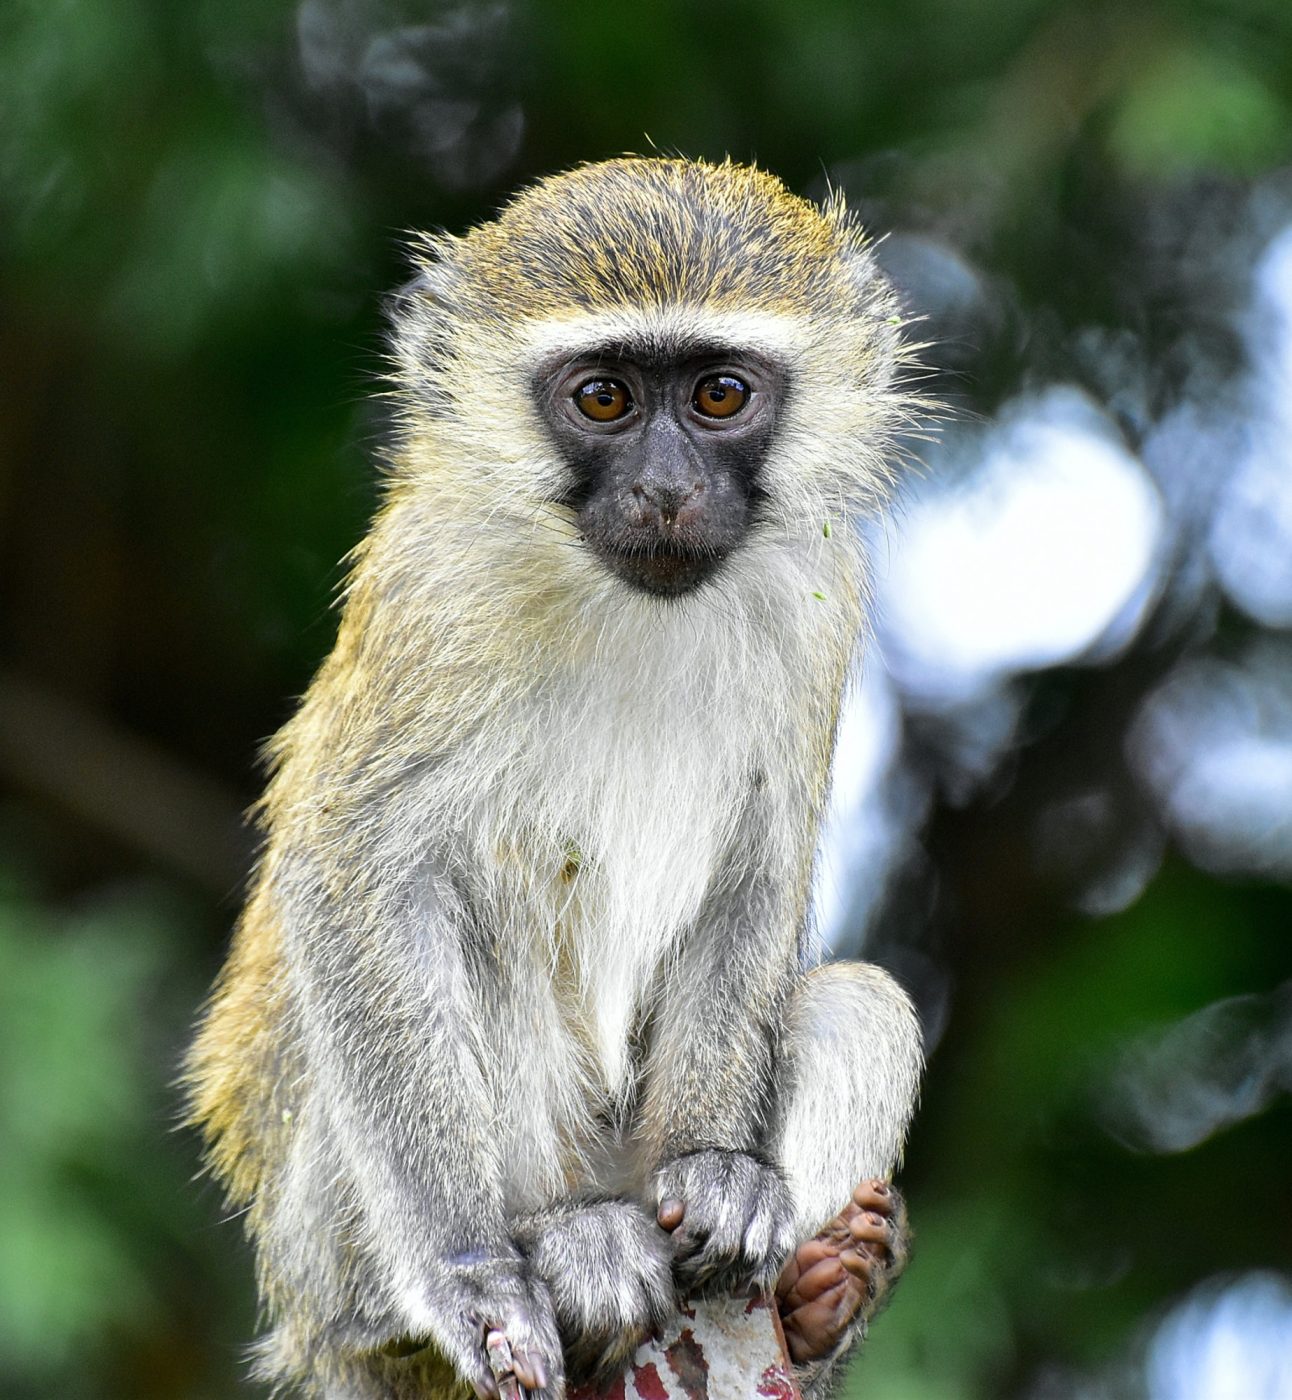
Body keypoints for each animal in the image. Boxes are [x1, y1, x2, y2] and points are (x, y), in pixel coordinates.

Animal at [187, 156, 923, 1400]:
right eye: (604, 400)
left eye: (718, 395)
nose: (667, 489)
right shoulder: (435, 589)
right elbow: (351, 872)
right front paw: (470, 1268)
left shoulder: (819, 599)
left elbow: (758, 866)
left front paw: (716, 1165)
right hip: (321, 1239)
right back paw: (545, 1255)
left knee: (860, 1000)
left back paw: (816, 1298)